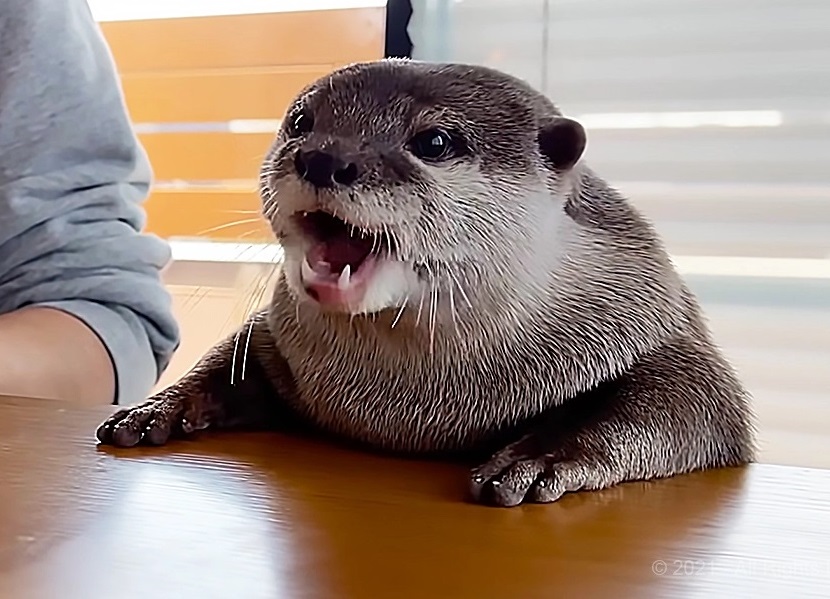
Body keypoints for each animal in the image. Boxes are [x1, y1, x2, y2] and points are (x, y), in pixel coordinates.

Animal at [96, 60, 755, 507]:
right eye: (300, 121)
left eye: (434, 142)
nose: (323, 157)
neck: (415, 409)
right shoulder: (274, 337)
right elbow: (228, 357)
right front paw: (154, 407)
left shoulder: (657, 325)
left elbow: (690, 404)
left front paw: (538, 456)